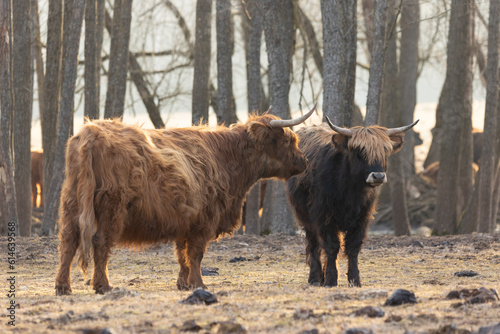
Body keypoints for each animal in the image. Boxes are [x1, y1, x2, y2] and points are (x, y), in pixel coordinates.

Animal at [286, 117, 418, 288]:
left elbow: (353, 247)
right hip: (305, 216)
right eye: (359, 152)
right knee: (313, 244)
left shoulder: (363, 217)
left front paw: (355, 280)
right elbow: (332, 246)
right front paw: (331, 279)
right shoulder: (323, 215)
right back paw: (315, 278)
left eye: (385, 151)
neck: (351, 192)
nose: (378, 176)